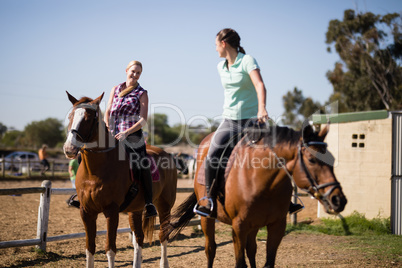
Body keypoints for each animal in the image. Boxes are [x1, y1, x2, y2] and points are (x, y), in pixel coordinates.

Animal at [64, 92, 177, 268]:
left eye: (89, 118)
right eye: (70, 116)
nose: (69, 148)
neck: (94, 172)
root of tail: (167, 155)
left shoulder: (111, 211)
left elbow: (110, 249)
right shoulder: (86, 211)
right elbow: (90, 248)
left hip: (164, 205)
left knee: (163, 236)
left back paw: (164, 263)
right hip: (135, 210)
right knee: (138, 239)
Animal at [165, 122, 348, 266]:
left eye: (331, 158)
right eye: (311, 159)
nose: (338, 200)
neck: (262, 181)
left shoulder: (277, 225)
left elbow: (266, 261)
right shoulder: (238, 227)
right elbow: (240, 263)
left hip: (254, 225)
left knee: (251, 249)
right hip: (207, 219)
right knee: (210, 249)